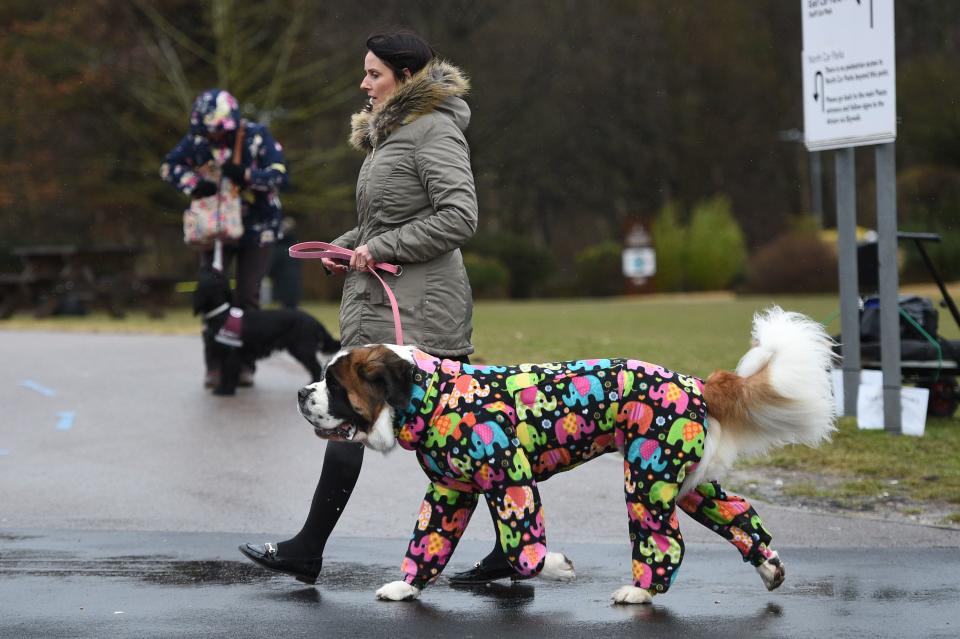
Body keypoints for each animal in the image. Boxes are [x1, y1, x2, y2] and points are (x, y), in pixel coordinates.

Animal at [192, 266, 342, 396]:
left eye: (212, 274)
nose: (207, 267)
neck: (221, 314)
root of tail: (313, 319)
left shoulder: (231, 353)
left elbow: (228, 373)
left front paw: (225, 391)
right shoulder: (224, 352)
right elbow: (225, 372)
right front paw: (223, 389)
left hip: (302, 349)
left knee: (316, 367)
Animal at [296, 308, 836, 604]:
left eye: (335, 386)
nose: (302, 393)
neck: (435, 396)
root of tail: (696, 382)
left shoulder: (510, 478)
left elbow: (522, 548)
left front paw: (555, 565)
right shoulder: (450, 493)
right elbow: (428, 541)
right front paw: (406, 586)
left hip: (648, 475)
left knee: (664, 540)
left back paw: (640, 591)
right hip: (684, 479)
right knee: (738, 511)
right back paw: (768, 566)